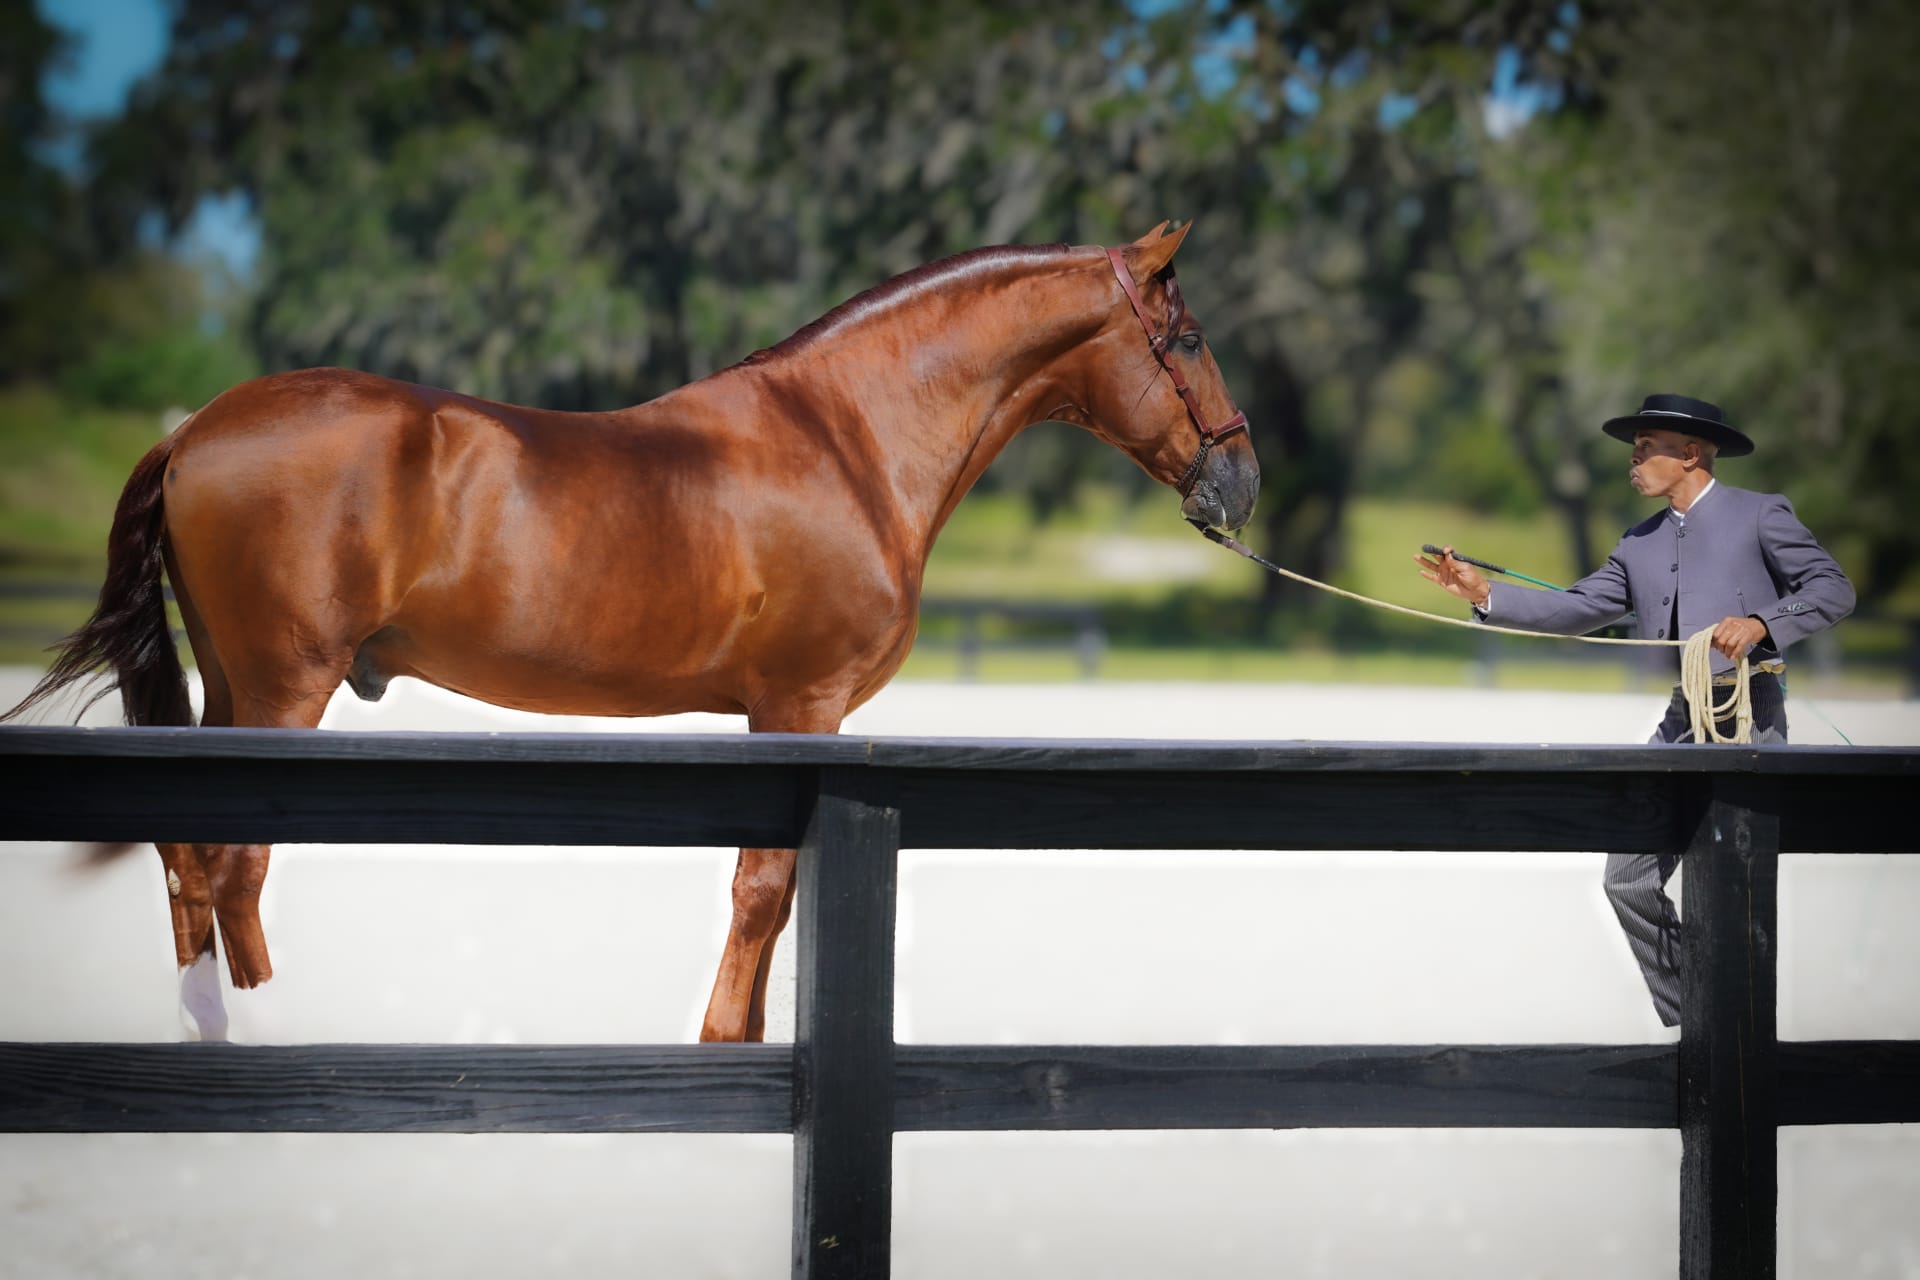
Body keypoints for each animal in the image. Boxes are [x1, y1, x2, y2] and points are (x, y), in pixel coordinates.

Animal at [3, 221, 1258, 1042]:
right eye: (1191, 336)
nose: (1240, 482)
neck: (845, 437)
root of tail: (197, 428)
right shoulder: (798, 706)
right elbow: (762, 888)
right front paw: (719, 1045)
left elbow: (775, 889)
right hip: (280, 689)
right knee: (232, 865)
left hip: (230, 687)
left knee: (189, 864)